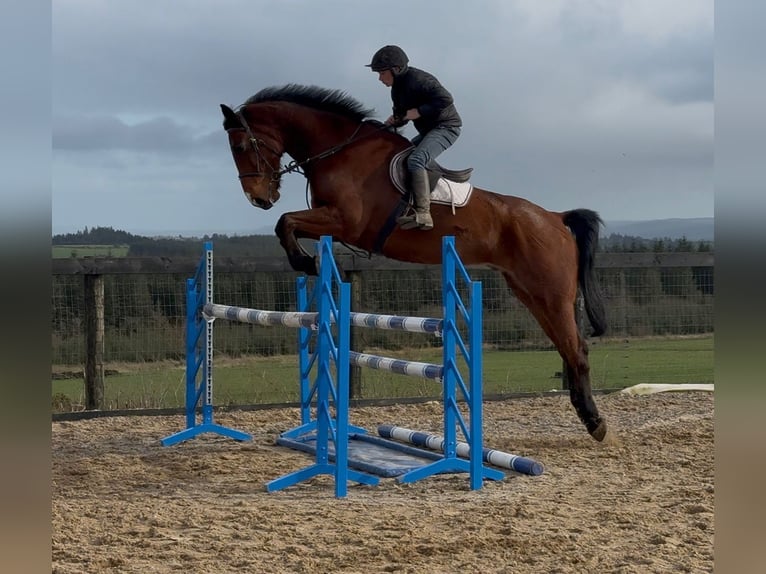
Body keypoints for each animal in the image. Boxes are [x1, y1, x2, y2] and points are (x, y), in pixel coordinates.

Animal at [220, 84, 608, 442]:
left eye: (241, 147)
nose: (259, 199)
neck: (339, 150)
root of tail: (555, 218)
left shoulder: (344, 221)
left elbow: (285, 221)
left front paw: (306, 262)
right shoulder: (331, 221)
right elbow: (284, 223)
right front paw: (309, 261)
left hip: (551, 294)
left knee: (577, 349)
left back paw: (596, 422)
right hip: (531, 293)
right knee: (567, 346)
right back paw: (586, 415)